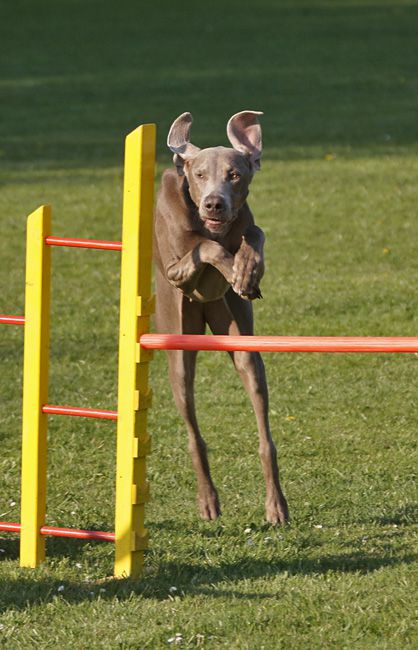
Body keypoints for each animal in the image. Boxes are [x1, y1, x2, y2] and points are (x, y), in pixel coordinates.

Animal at [153, 111, 288, 524]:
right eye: (199, 174)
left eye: (235, 174)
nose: (214, 204)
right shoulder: (176, 270)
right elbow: (208, 249)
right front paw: (233, 268)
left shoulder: (246, 222)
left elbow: (254, 234)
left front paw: (247, 271)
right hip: (178, 348)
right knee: (193, 433)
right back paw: (208, 500)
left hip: (243, 345)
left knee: (264, 434)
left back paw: (276, 504)